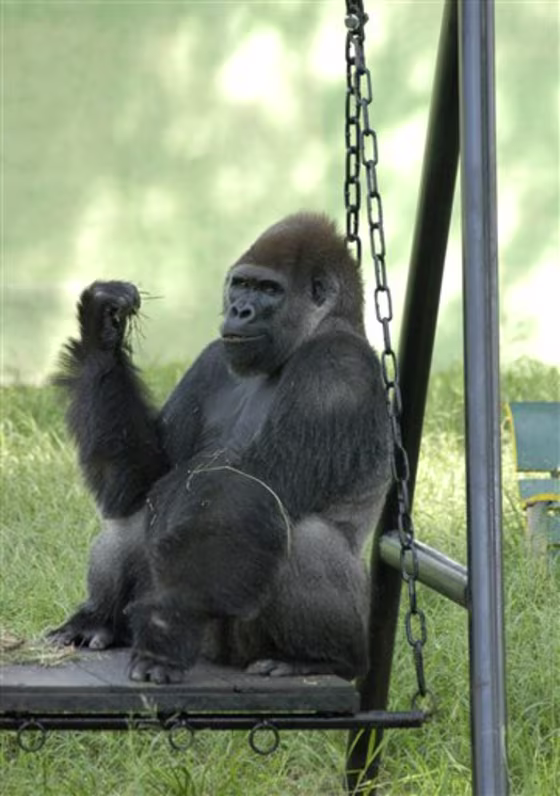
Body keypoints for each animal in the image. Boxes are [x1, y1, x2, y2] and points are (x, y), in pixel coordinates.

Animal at [48, 212, 392, 684]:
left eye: (269, 290)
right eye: (241, 284)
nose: (239, 310)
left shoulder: (336, 369)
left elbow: (246, 496)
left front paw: (166, 631)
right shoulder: (212, 358)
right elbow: (143, 478)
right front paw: (101, 330)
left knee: (302, 535)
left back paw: (321, 657)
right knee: (138, 508)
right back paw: (100, 621)